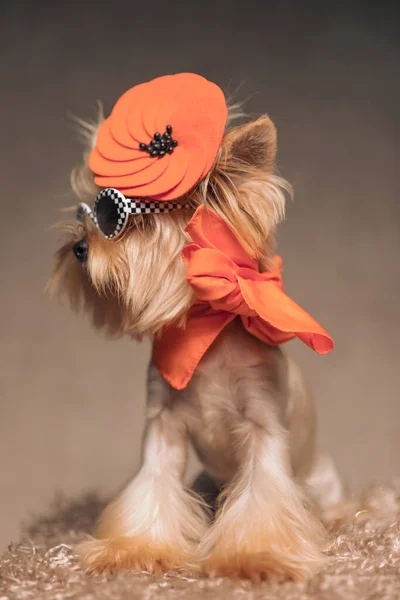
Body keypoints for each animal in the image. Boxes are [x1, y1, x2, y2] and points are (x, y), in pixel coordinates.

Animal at [48, 72, 344, 580]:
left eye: (126, 221)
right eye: (86, 213)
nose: (78, 247)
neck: (205, 333)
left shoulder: (264, 424)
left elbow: (264, 494)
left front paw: (254, 557)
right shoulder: (163, 425)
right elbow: (152, 485)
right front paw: (133, 548)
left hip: (321, 480)